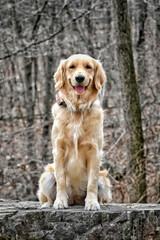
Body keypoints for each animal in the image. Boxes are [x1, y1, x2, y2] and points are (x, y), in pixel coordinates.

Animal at [38, 54, 112, 210]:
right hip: (47, 175)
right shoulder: (59, 149)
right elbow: (60, 180)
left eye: (88, 67)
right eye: (71, 67)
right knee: (48, 196)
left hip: (103, 179)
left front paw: (92, 203)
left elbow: (92, 182)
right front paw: (60, 201)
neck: (78, 108)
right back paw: (49, 204)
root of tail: (75, 199)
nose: (79, 77)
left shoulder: (95, 150)